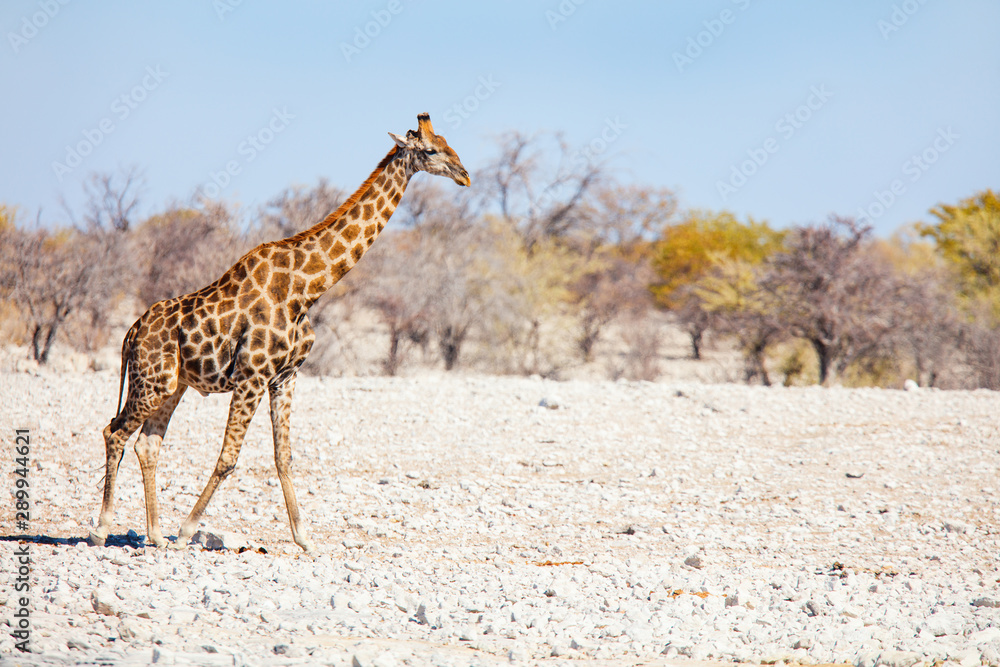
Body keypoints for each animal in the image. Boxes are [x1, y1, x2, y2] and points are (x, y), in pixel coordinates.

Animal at [89, 113, 469, 554]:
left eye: (448, 143)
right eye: (431, 150)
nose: (465, 175)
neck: (308, 289)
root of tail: (130, 333)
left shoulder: (285, 376)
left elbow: (283, 455)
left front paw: (304, 537)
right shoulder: (251, 376)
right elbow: (228, 457)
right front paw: (186, 530)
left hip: (173, 385)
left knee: (147, 443)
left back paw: (154, 534)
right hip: (151, 381)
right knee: (114, 431)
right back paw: (102, 528)